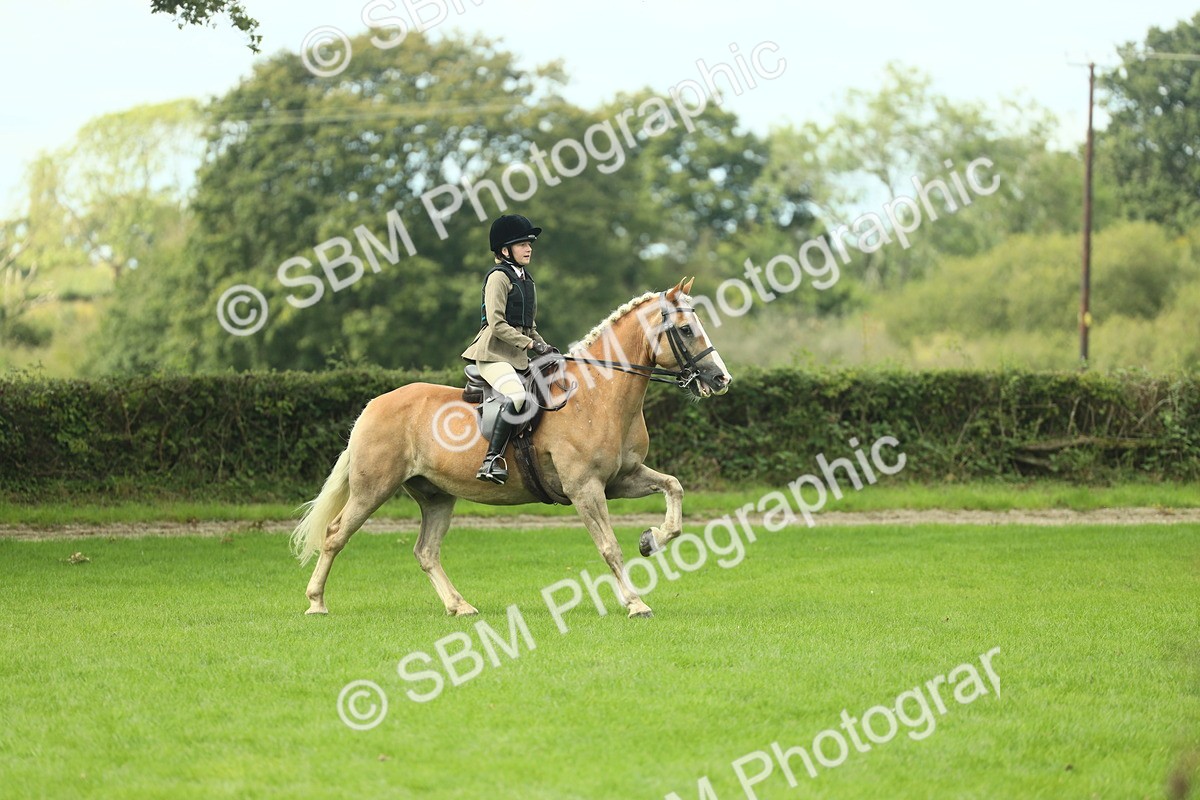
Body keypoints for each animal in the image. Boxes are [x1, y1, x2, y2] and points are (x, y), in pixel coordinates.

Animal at [290, 278, 732, 619]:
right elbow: (609, 547)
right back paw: (316, 603)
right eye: (687, 330)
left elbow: (674, 487)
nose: (720, 379)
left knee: (426, 551)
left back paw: (459, 606)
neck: (598, 395)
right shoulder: (585, 488)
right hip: (373, 488)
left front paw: (651, 539)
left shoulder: (621, 479)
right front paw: (636, 603)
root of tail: (373, 405)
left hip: (436, 496)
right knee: (335, 535)